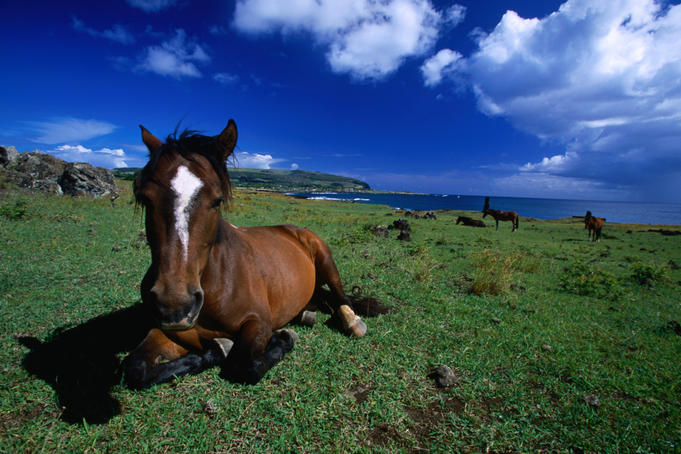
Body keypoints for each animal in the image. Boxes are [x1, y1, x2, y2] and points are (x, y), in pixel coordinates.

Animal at [123, 120, 371, 389]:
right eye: (146, 199)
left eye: (217, 200)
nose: (174, 305)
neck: (216, 283)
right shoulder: (172, 332)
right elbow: (135, 368)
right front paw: (216, 350)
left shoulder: (258, 321)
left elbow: (246, 366)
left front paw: (283, 339)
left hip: (325, 259)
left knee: (341, 297)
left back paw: (352, 322)